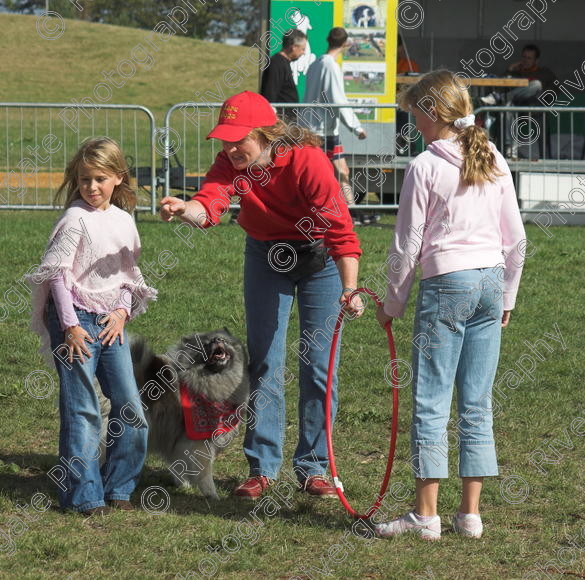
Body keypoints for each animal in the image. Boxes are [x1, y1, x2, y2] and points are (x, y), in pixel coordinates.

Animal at [98, 328, 249, 500]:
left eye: (224, 340)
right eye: (206, 344)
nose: (217, 340)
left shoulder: (177, 439)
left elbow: (178, 465)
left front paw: (184, 485)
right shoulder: (199, 443)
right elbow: (204, 473)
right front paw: (212, 495)